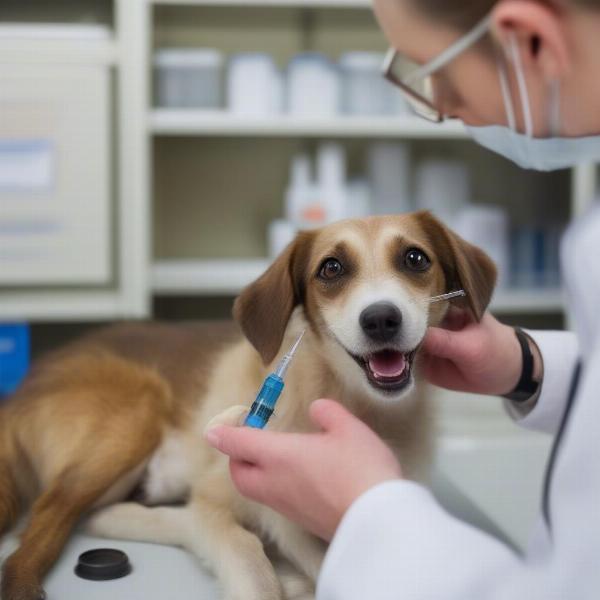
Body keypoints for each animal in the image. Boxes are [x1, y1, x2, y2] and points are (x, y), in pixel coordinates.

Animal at [0, 212, 494, 600]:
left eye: (415, 258)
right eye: (331, 267)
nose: (381, 319)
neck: (355, 402)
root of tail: (25, 385)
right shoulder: (214, 500)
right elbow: (251, 558)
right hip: (132, 420)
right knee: (39, 525)